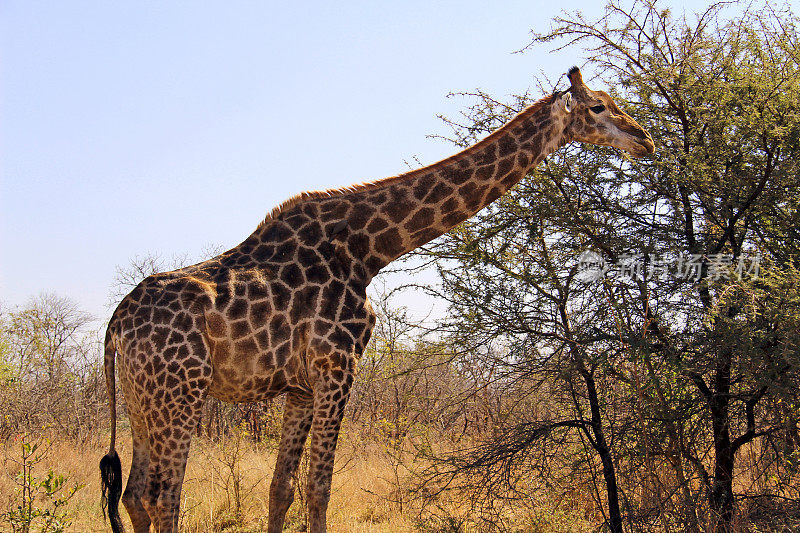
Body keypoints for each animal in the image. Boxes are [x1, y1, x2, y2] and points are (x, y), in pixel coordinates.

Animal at [98, 67, 648, 532]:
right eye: (598, 106)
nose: (644, 136)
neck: (368, 250)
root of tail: (116, 324)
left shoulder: (301, 386)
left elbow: (281, 489)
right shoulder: (338, 364)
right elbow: (319, 489)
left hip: (143, 399)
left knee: (134, 494)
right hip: (180, 392)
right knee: (163, 498)